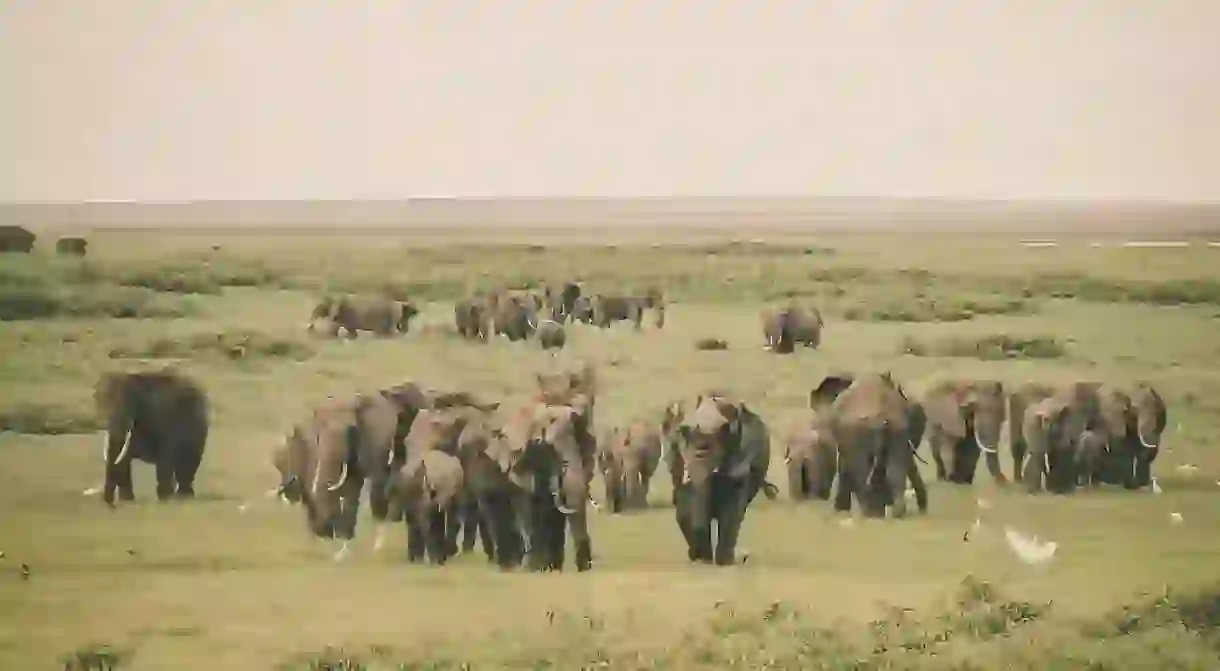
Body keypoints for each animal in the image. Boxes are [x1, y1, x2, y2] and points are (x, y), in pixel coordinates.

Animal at [92, 370, 209, 507]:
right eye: (99, 403)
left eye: (129, 403)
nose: (111, 506)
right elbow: (123, 458)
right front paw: (127, 500)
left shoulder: (164, 418)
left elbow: (166, 457)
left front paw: (164, 499)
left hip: (199, 428)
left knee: (188, 462)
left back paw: (182, 496)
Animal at [663, 395, 775, 568]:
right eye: (682, 440)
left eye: (717, 452)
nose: (695, 555)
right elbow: (685, 502)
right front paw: (703, 559)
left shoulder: (740, 456)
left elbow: (731, 507)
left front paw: (723, 562)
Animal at [824, 373, 927, 519]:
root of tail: (880, 413)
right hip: (893, 428)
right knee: (891, 469)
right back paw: (891, 512)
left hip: (860, 431)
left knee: (862, 471)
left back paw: (870, 512)